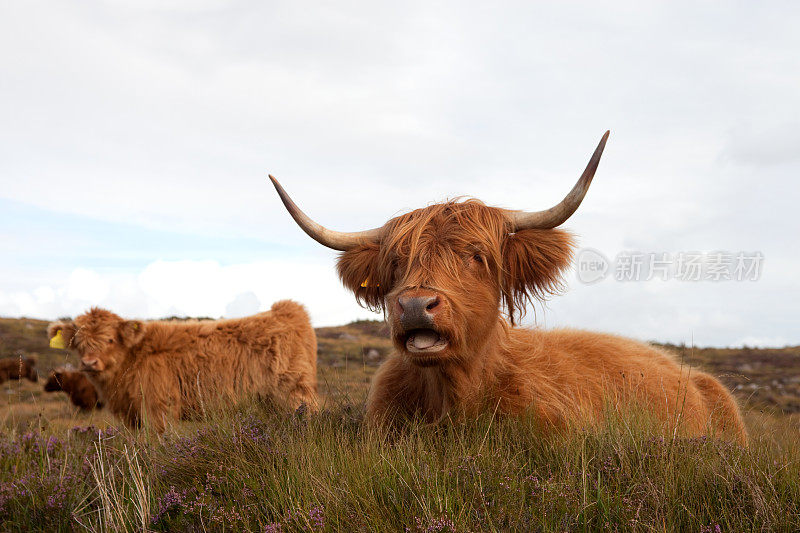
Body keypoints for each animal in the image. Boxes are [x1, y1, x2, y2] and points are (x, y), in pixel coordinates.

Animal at [47, 300, 318, 432]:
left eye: (110, 339)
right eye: (77, 341)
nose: (89, 363)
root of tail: (286, 311)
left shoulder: (157, 409)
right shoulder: (132, 416)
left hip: (294, 394)